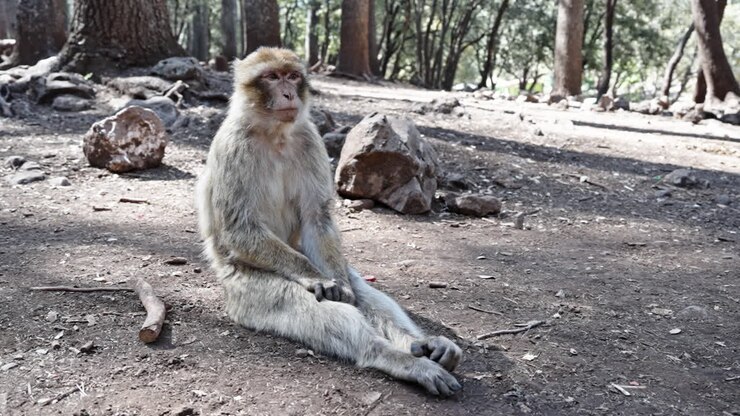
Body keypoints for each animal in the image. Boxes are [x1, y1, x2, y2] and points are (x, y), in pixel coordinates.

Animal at [195, 47, 463, 396]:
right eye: (271, 77)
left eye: (292, 76)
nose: (288, 93)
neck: (274, 133)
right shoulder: (234, 147)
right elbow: (238, 227)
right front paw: (314, 277)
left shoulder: (310, 139)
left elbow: (317, 219)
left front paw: (340, 285)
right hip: (244, 288)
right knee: (307, 304)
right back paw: (394, 357)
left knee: (361, 291)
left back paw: (423, 345)